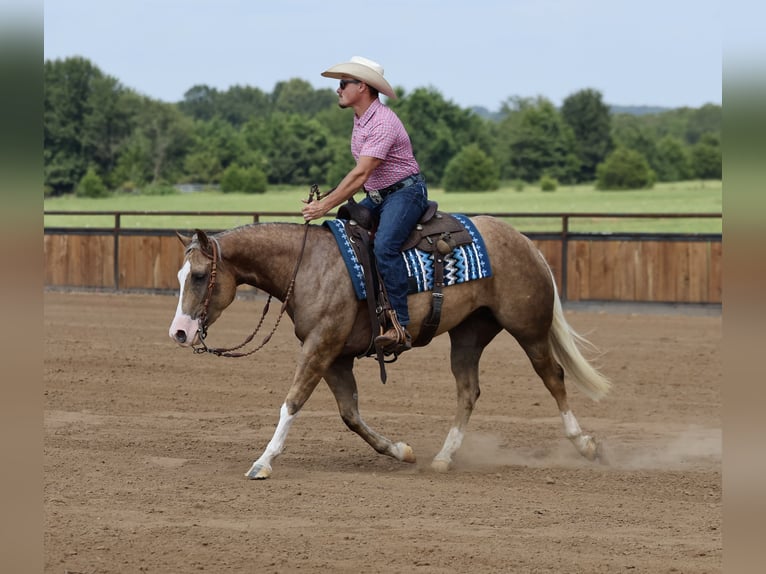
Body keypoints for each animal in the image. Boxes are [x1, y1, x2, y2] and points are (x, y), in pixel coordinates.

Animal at [168, 215, 611, 479]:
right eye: (179, 275)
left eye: (200, 275)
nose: (180, 333)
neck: (309, 264)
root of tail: (525, 241)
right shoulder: (336, 357)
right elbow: (350, 415)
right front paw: (400, 450)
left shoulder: (320, 346)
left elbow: (292, 401)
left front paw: (263, 461)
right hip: (468, 334)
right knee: (468, 390)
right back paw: (443, 457)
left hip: (528, 328)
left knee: (553, 376)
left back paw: (585, 444)